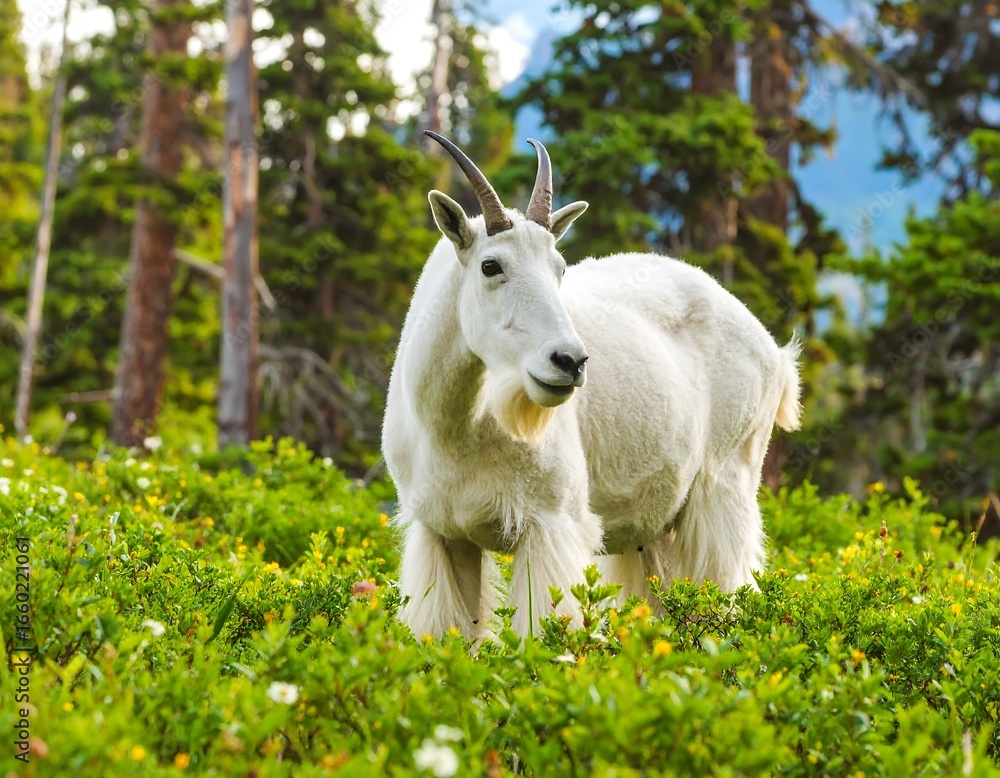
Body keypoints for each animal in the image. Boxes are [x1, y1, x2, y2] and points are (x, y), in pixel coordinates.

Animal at [382, 132, 801, 639]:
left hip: (726, 485)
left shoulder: (549, 522)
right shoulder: (444, 533)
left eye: (560, 267)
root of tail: (774, 353)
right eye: (490, 265)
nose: (570, 362)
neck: (457, 426)